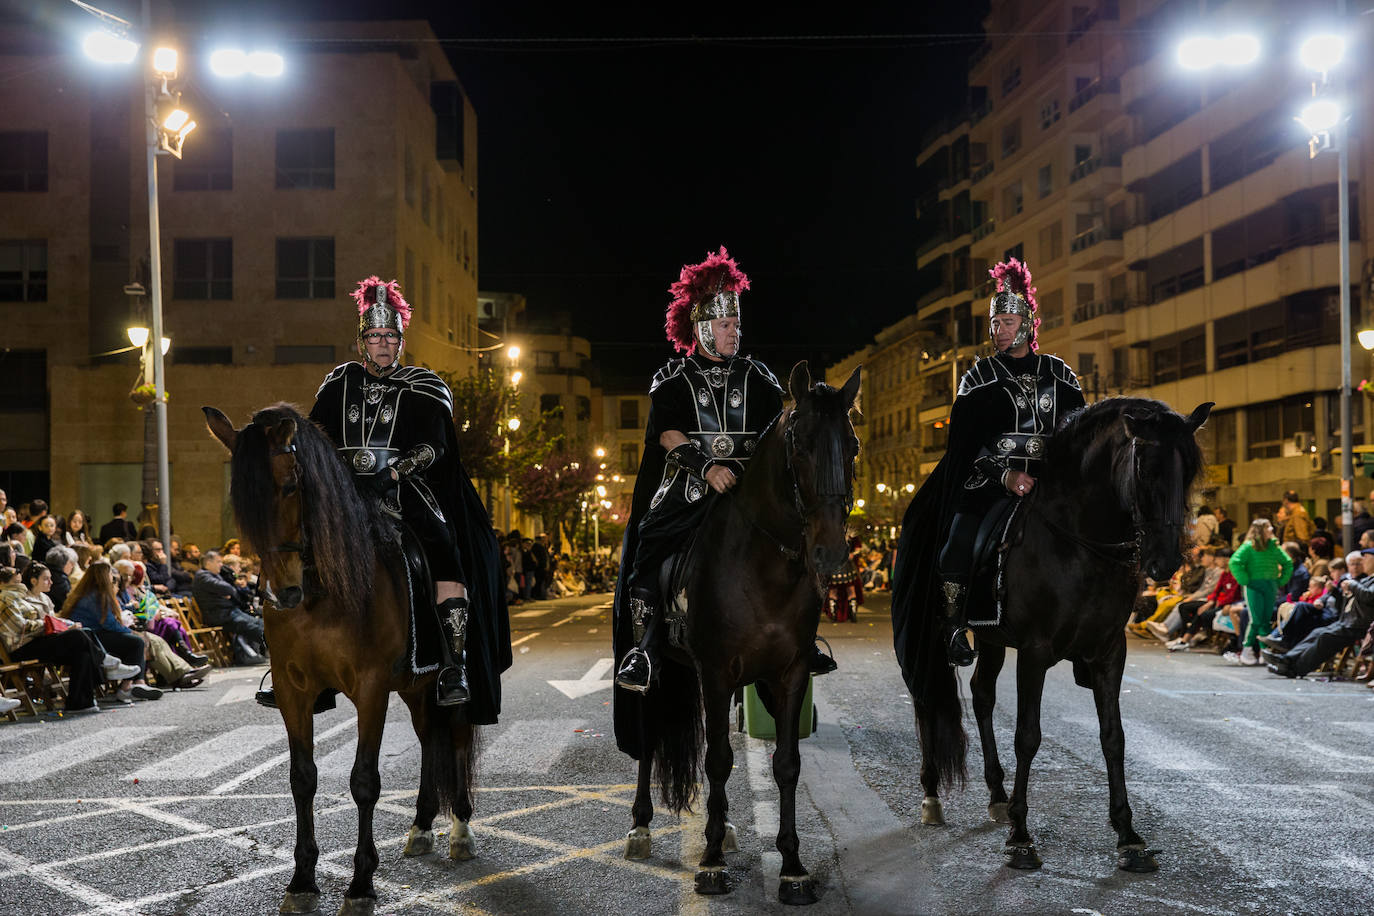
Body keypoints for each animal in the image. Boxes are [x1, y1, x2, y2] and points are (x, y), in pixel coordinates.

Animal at [203, 403, 483, 916]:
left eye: (290, 486)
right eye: (241, 502)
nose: (282, 593)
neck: (325, 591)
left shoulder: (370, 688)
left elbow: (364, 781)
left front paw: (360, 884)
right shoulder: (294, 691)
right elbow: (302, 778)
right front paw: (302, 880)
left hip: (439, 681)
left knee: (452, 735)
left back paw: (460, 830)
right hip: (413, 687)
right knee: (428, 738)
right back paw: (421, 825)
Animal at [621, 362, 857, 900]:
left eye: (852, 445)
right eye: (801, 445)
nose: (830, 552)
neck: (764, 565)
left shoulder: (789, 674)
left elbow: (786, 764)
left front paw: (792, 866)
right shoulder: (715, 672)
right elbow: (717, 761)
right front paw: (709, 863)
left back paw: (726, 826)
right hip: (658, 668)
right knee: (647, 740)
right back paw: (641, 825)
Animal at [890, 398, 1203, 873]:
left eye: (1188, 471)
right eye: (1146, 468)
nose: (1164, 562)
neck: (1078, 542)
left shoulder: (1109, 651)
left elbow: (1113, 738)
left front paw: (1128, 836)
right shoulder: (1035, 652)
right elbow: (1028, 736)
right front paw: (1021, 838)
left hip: (993, 640)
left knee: (981, 695)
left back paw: (997, 795)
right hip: (932, 634)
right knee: (927, 699)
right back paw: (932, 796)